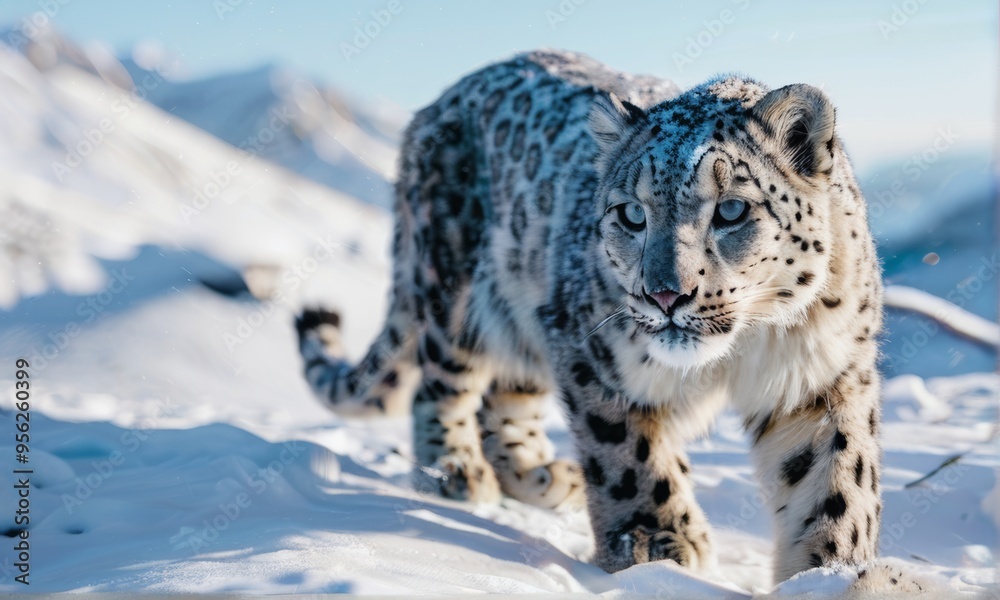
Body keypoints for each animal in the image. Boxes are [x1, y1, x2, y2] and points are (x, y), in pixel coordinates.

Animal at [296, 49, 901, 587]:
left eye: (731, 209)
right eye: (631, 214)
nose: (665, 295)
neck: (742, 347)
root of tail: (437, 104)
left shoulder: (822, 375)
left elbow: (836, 480)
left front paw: (831, 571)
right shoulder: (594, 352)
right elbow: (627, 451)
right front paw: (656, 542)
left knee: (504, 401)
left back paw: (543, 477)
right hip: (456, 290)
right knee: (442, 385)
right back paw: (455, 473)